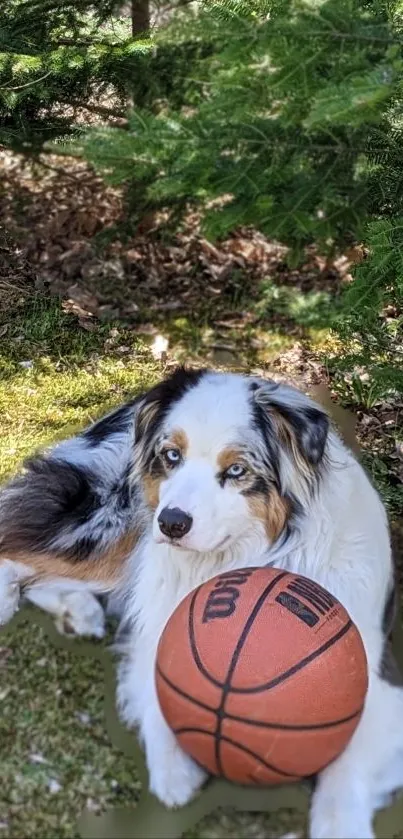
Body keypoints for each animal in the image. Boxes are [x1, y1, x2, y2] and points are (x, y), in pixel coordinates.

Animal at [0, 370, 403, 839]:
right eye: (172, 456)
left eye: (236, 469)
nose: (172, 523)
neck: (239, 557)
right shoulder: (160, 625)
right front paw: (175, 772)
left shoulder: (375, 673)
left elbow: (349, 763)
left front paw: (342, 824)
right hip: (120, 523)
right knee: (19, 546)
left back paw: (78, 610)